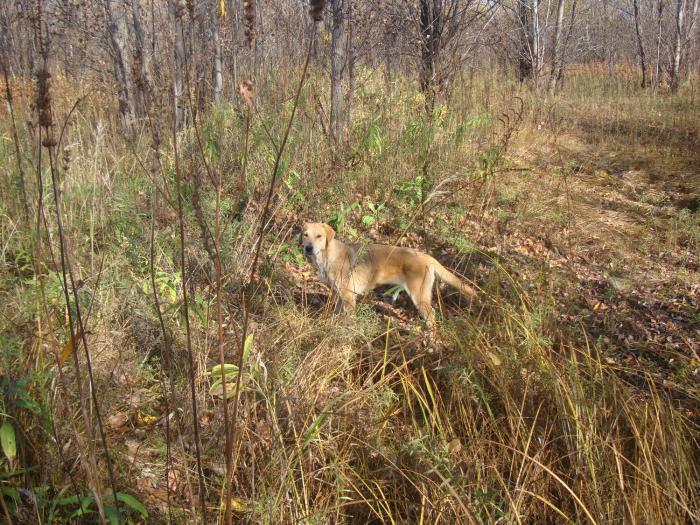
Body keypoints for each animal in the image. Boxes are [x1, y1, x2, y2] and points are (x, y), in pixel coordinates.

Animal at [300, 220, 476, 326]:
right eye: (305, 235)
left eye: (319, 236)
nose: (308, 248)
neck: (327, 255)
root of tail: (426, 256)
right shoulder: (338, 294)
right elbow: (337, 312)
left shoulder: (348, 295)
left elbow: (349, 318)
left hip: (419, 295)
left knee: (432, 316)